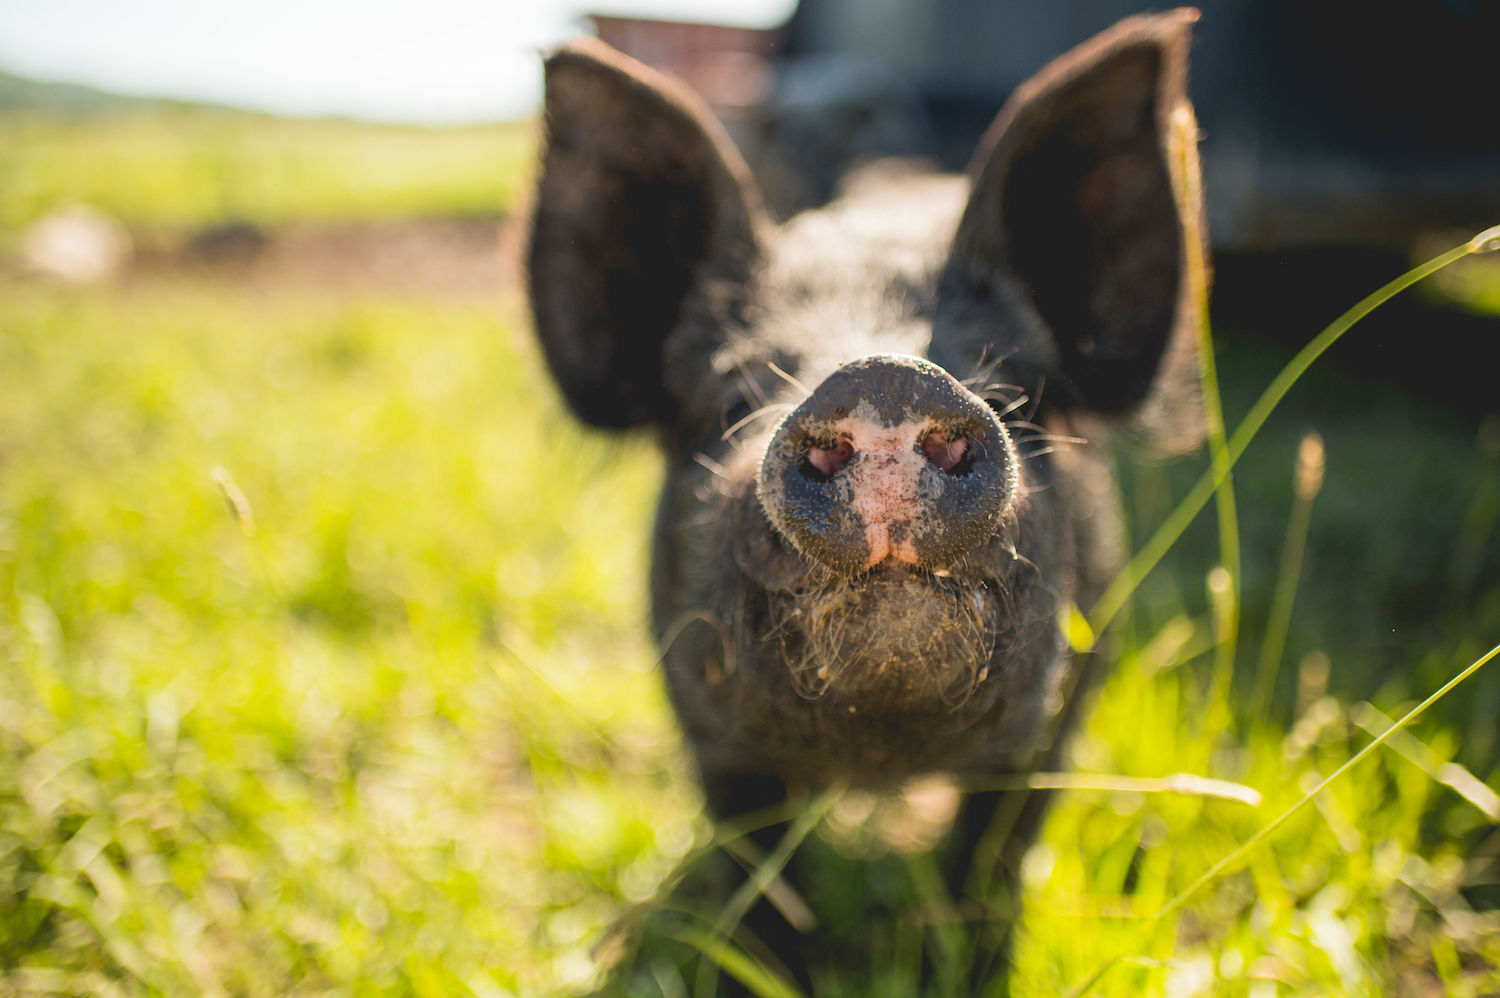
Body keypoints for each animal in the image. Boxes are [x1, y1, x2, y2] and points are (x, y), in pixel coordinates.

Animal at [528, 7, 1206, 990]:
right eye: (731, 397)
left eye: (1016, 391)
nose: (885, 374)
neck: (880, 755)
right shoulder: (708, 733)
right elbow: (760, 876)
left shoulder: (1062, 716)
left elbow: (991, 856)